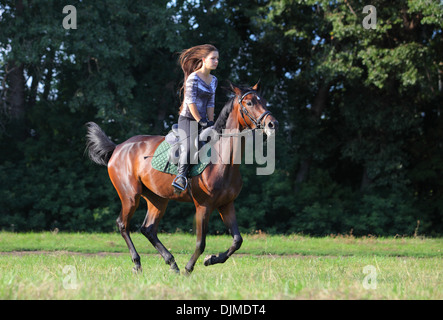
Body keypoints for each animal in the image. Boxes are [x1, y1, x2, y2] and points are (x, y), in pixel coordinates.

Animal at [85, 81, 280, 274]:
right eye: (249, 103)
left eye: (264, 101)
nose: (273, 123)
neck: (223, 159)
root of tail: (118, 148)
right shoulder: (203, 206)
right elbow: (201, 243)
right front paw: (189, 267)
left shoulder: (226, 204)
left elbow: (237, 240)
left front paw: (212, 259)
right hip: (130, 196)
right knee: (123, 224)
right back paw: (138, 263)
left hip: (158, 199)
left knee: (148, 229)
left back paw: (172, 263)